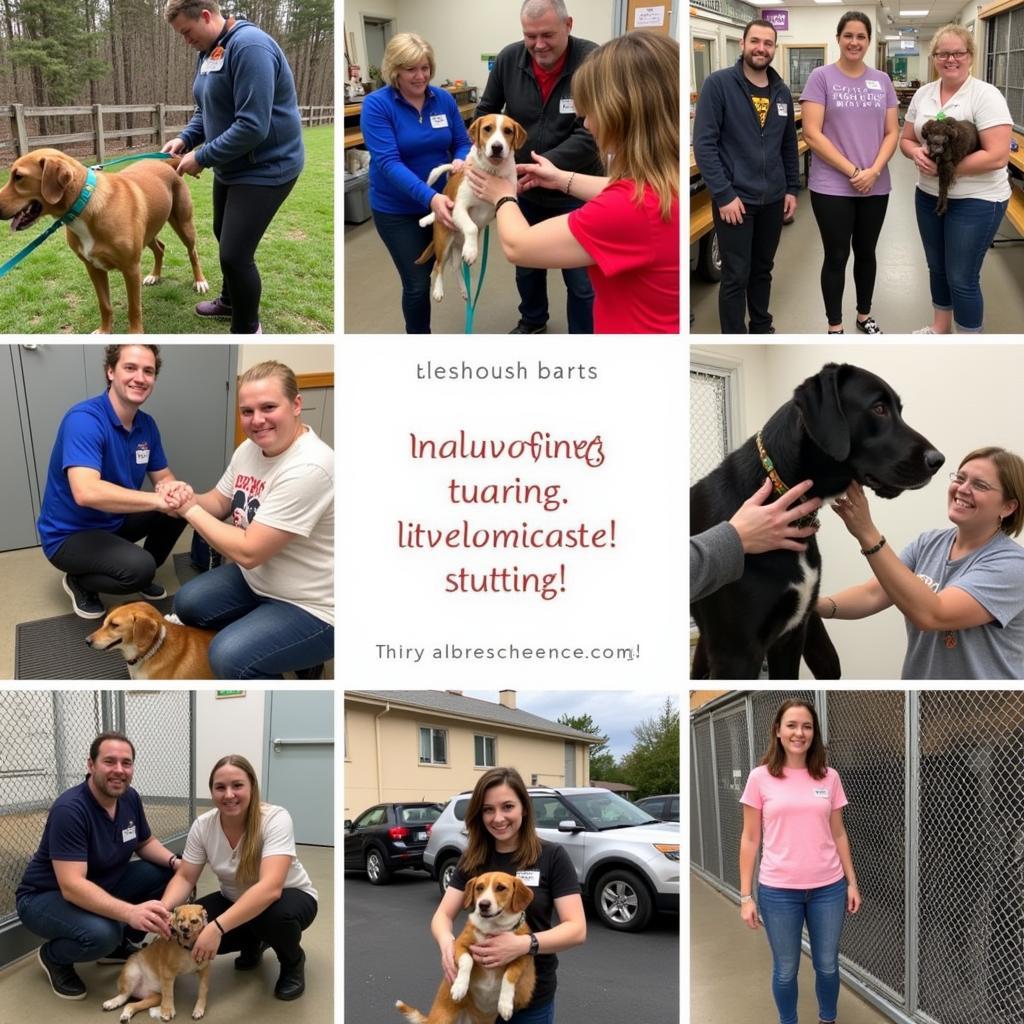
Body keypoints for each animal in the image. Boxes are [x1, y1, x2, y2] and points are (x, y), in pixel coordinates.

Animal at [0, 146, 208, 331]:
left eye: (18, 177)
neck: (85, 206)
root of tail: (166, 164)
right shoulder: (93, 268)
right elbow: (105, 305)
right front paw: (104, 331)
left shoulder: (131, 269)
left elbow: (134, 308)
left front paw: (135, 335)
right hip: (149, 230)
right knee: (160, 248)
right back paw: (155, 275)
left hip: (184, 224)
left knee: (193, 253)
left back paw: (199, 281)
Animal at [393, 872, 536, 1024]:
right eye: (479, 887)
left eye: (501, 888)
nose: (483, 905)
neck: (492, 929)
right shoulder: (458, 945)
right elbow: (468, 961)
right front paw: (460, 987)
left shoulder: (522, 955)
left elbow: (510, 975)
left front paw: (505, 1004)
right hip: (442, 1019)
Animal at [415, 115, 528, 303]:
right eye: (487, 129)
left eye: (508, 131)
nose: (497, 147)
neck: (492, 171)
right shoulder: (460, 208)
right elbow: (471, 226)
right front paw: (472, 250)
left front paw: (471, 250)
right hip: (444, 242)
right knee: (438, 266)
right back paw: (438, 289)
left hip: (455, 248)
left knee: (454, 267)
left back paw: (464, 288)